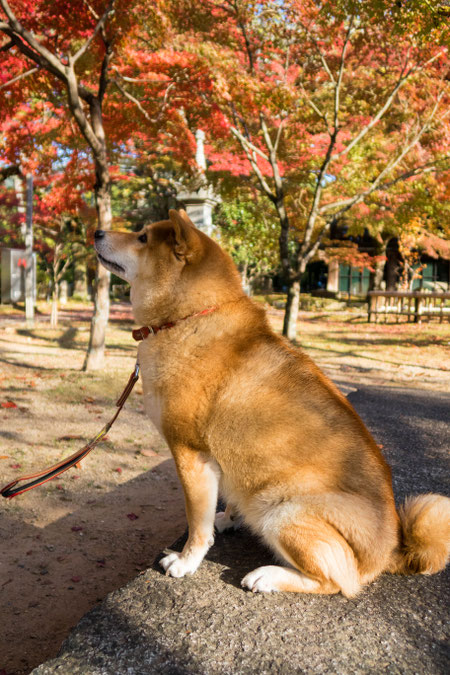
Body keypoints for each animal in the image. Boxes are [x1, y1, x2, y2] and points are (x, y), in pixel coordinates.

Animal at [95, 210, 450, 596]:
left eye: (142, 237)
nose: (96, 232)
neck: (190, 318)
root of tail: (389, 552)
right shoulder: (225, 462)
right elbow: (228, 499)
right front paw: (229, 518)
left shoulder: (191, 455)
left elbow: (197, 525)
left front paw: (187, 561)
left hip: (283, 511)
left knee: (336, 581)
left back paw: (266, 576)